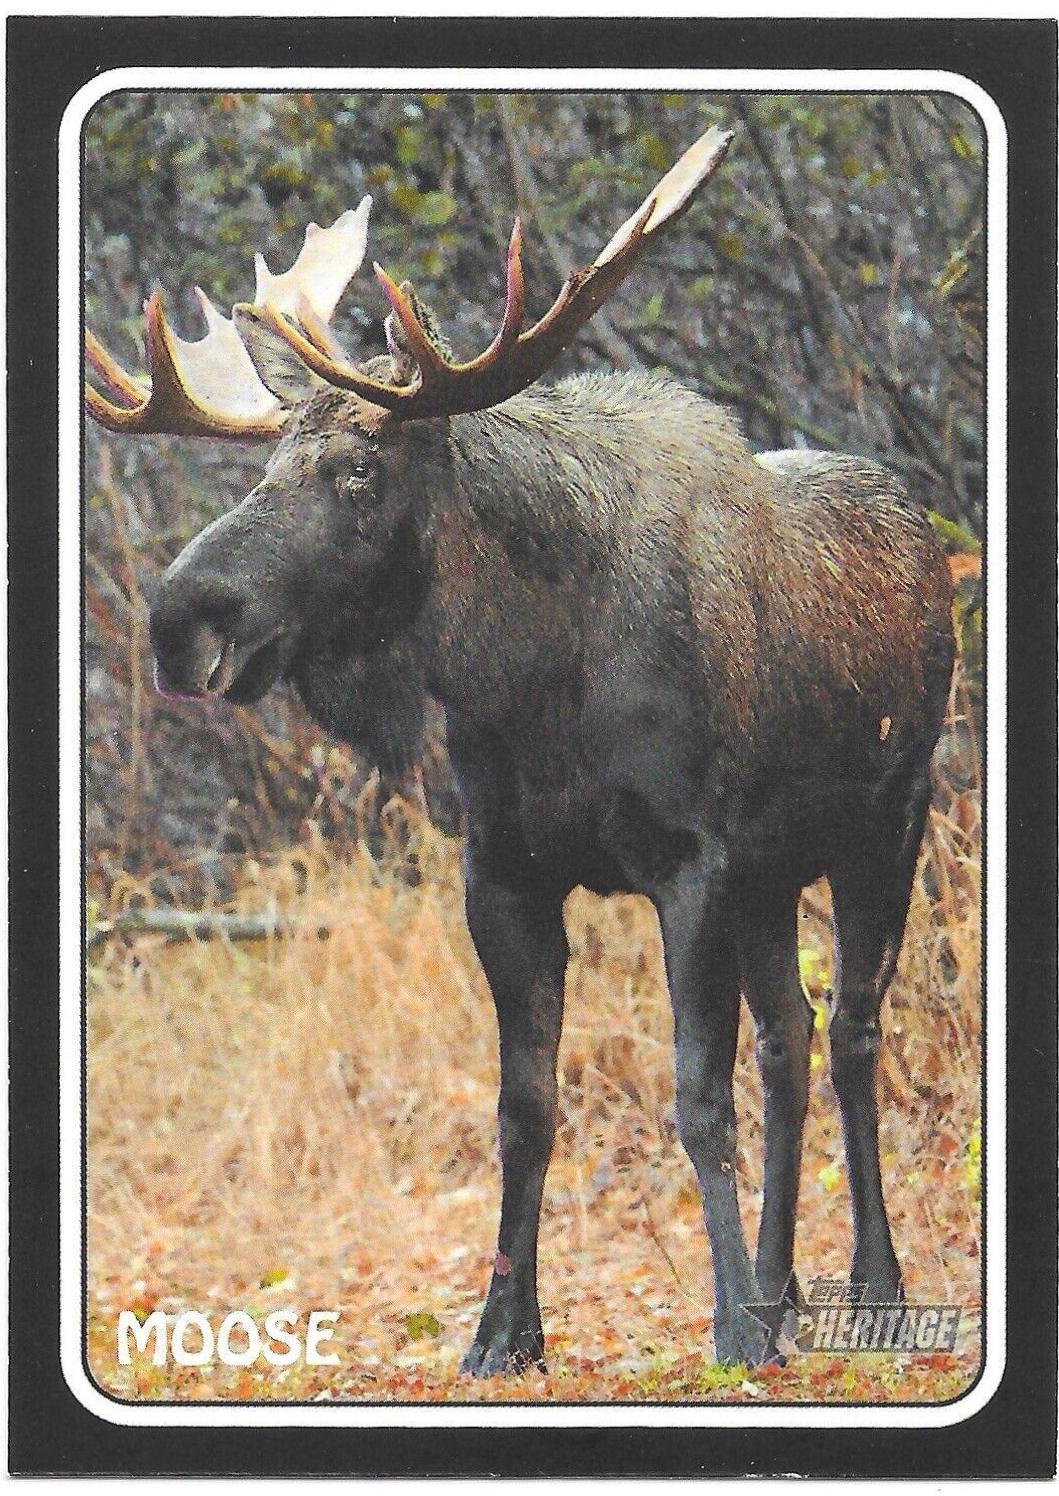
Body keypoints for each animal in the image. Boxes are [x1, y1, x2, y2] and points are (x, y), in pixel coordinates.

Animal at [85, 126, 955, 1375]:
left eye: (358, 472)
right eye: (264, 470)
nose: (178, 616)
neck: (530, 686)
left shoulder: (687, 861)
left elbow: (697, 1094)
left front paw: (732, 1326)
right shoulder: (503, 872)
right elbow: (524, 1106)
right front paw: (504, 1330)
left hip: (890, 819)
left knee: (850, 1031)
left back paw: (871, 1291)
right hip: (773, 870)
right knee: (790, 1037)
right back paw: (789, 1289)